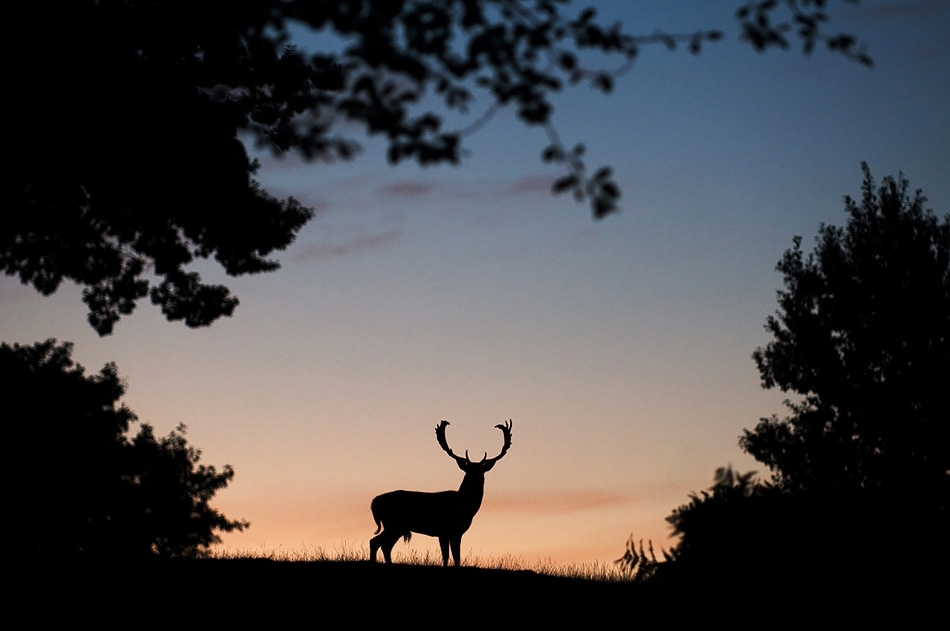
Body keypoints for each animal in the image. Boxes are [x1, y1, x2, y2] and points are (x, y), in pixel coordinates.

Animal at [369, 419, 513, 567]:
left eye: (481, 471)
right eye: (468, 471)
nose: (475, 479)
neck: (466, 506)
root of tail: (374, 503)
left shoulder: (455, 532)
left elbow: (454, 556)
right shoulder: (445, 531)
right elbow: (448, 555)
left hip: (396, 527)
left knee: (383, 545)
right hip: (393, 524)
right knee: (376, 542)